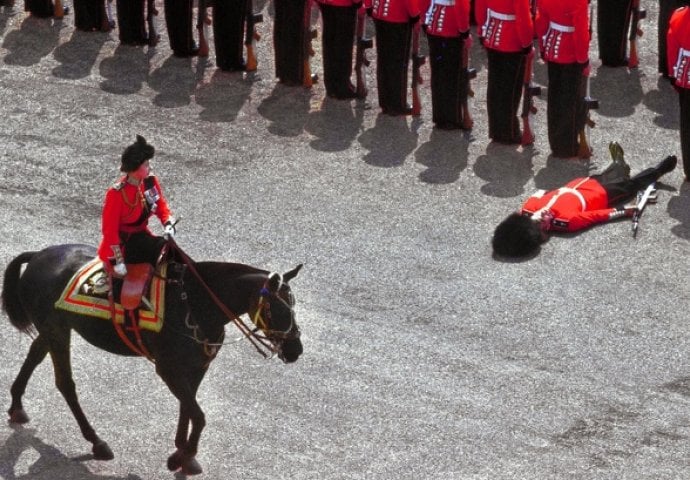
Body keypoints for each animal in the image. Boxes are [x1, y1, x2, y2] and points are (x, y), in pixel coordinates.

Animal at [0, 242, 300, 474]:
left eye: (293, 305)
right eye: (276, 309)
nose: (296, 350)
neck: (195, 303)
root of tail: (38, 255)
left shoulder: (196, 368)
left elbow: (188, 409)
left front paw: (182, 453)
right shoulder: (168, 370)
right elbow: (199, 415)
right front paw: (183, 455)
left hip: (52, 330)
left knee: (35, 355)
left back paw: (17, 405)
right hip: (57, 332)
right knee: (65, 383)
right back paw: (96, 441)